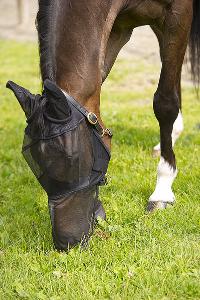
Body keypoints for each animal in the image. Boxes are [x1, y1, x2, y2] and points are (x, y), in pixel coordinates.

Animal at [6, 0, 200, 251]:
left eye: (75, 160)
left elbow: (165, 102)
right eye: (32, 162)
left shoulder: (178, 13)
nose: (69, 243)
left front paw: (162, 190)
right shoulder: (117, 27)